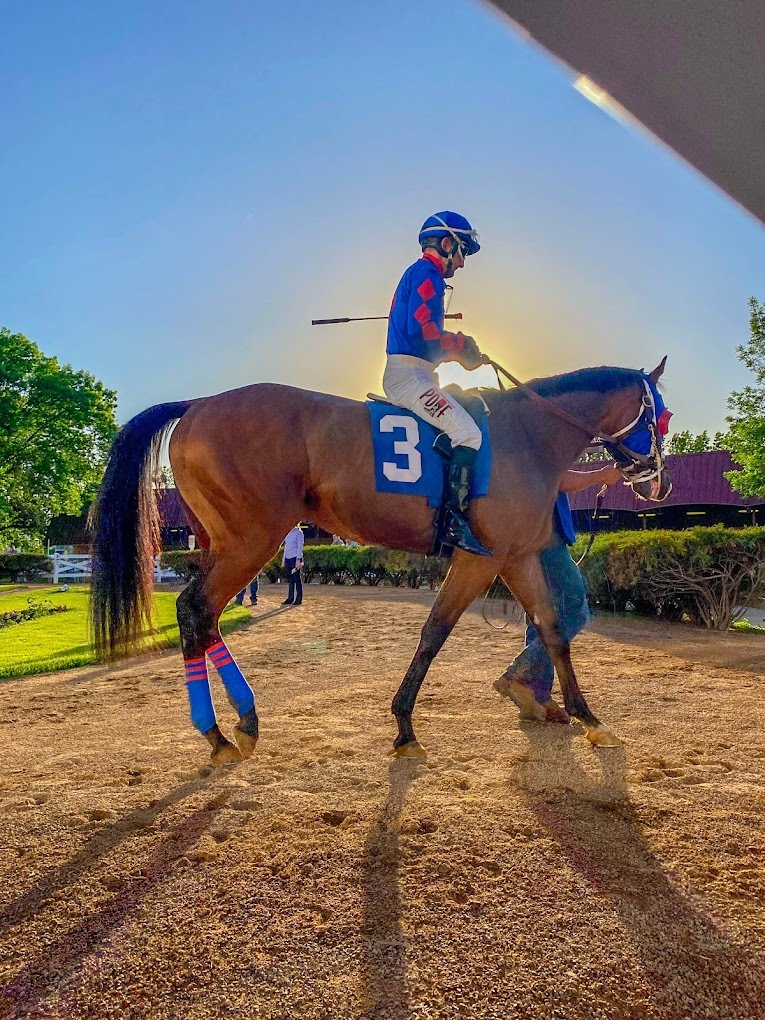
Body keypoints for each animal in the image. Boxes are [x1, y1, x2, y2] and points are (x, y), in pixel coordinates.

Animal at [90, 360, 672, 764]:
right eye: (662, 416)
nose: (655, 480)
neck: (527, 435)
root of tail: (200, 402)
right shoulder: (480, 559)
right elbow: (435, 632)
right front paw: (405, 727)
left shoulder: (517, 556)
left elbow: (552, 629)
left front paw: (587, 716)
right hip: (250, 541)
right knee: (195, 608)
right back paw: (220, 732)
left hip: (221, 542)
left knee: (205, 616)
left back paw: (241, 723)